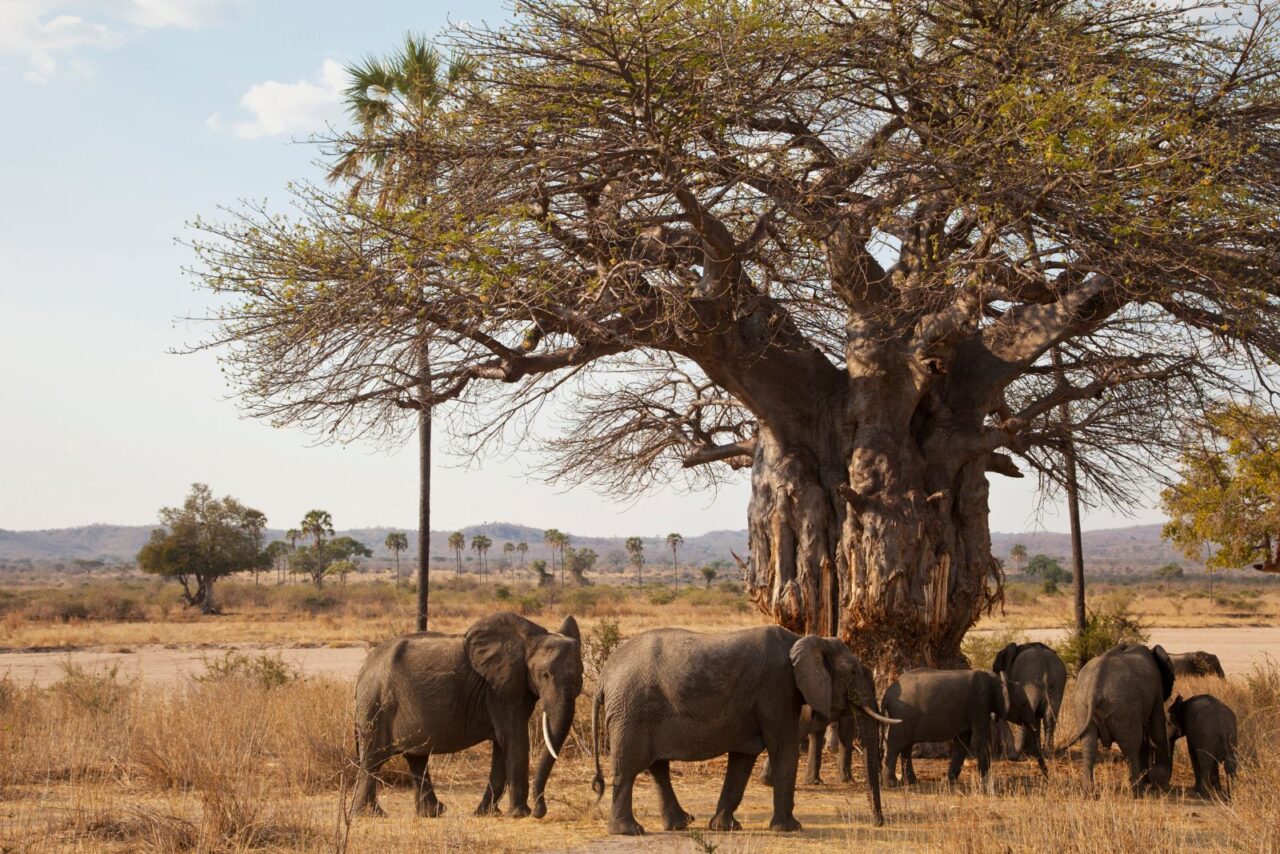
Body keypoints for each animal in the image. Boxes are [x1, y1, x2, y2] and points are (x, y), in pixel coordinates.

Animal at [351, 612, 583, 819]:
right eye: (545, 675)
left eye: (580, 676)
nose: (539, 810)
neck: (531, 640)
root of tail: (364, 668)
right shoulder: (499, 690)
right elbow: (515, 739)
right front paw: (520, 814)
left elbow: (503, 744)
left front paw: (486, 814)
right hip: (375, 702)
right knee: (374, 758)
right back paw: (370, 815)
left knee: (416, 757)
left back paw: (431, 813)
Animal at [589, 626, 895, 835]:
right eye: (853, 672)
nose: (878, 822)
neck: (806, 638)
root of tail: (604, 676)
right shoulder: (778, 689)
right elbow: (783, 750)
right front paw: (790, 828)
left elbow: (742, 760)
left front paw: (724, 827)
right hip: (631, 711)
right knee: (629, 768)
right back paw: (630, 831)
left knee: (657, 767)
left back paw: (681, 824)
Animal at [882, 668, 1043, 791]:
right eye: (1023, 704)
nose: (1046, 778)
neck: (998, 680)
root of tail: (886, 695)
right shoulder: (979, 703)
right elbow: (981, 740)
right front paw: (985, 784)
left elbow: (962, 742)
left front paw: (948, 782)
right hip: (901, 716)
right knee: (895, 745)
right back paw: (892, 784)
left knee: (906, 747)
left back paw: (911, 782)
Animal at [1066, 643, 1174, 794]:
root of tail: (1094, 689)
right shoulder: (1157, 689)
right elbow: (1157, 729)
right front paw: (1159, 780)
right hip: (1122, 706)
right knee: (1130, 747)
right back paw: (1137, 790)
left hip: (1082, 704)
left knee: (1089, 745)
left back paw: (1088, 791)